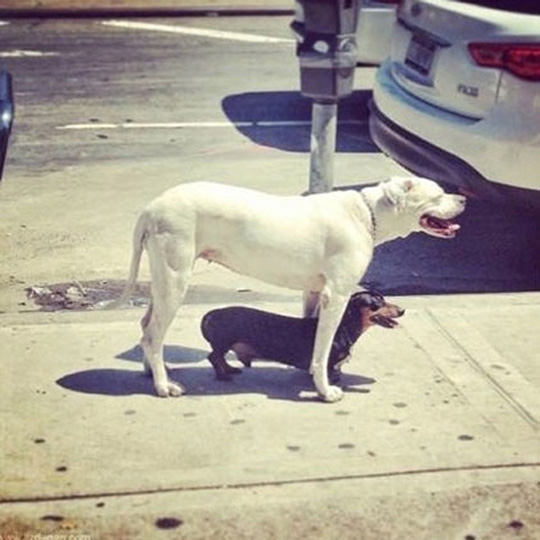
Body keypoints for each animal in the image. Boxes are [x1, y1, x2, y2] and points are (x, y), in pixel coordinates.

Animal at [116, 176, 466, 400]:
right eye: (438, 194)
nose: (464, 197)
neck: (368, 214)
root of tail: (152, 207)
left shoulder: (314, 292)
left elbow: (312, 334)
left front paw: (311, 375)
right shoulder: (337, 295)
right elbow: (323, 346)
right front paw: (325, 390)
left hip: (163, 279)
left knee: (147, 325)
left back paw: (153, 371)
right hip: (175, 277)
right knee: (153, 334)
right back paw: (164, 387)